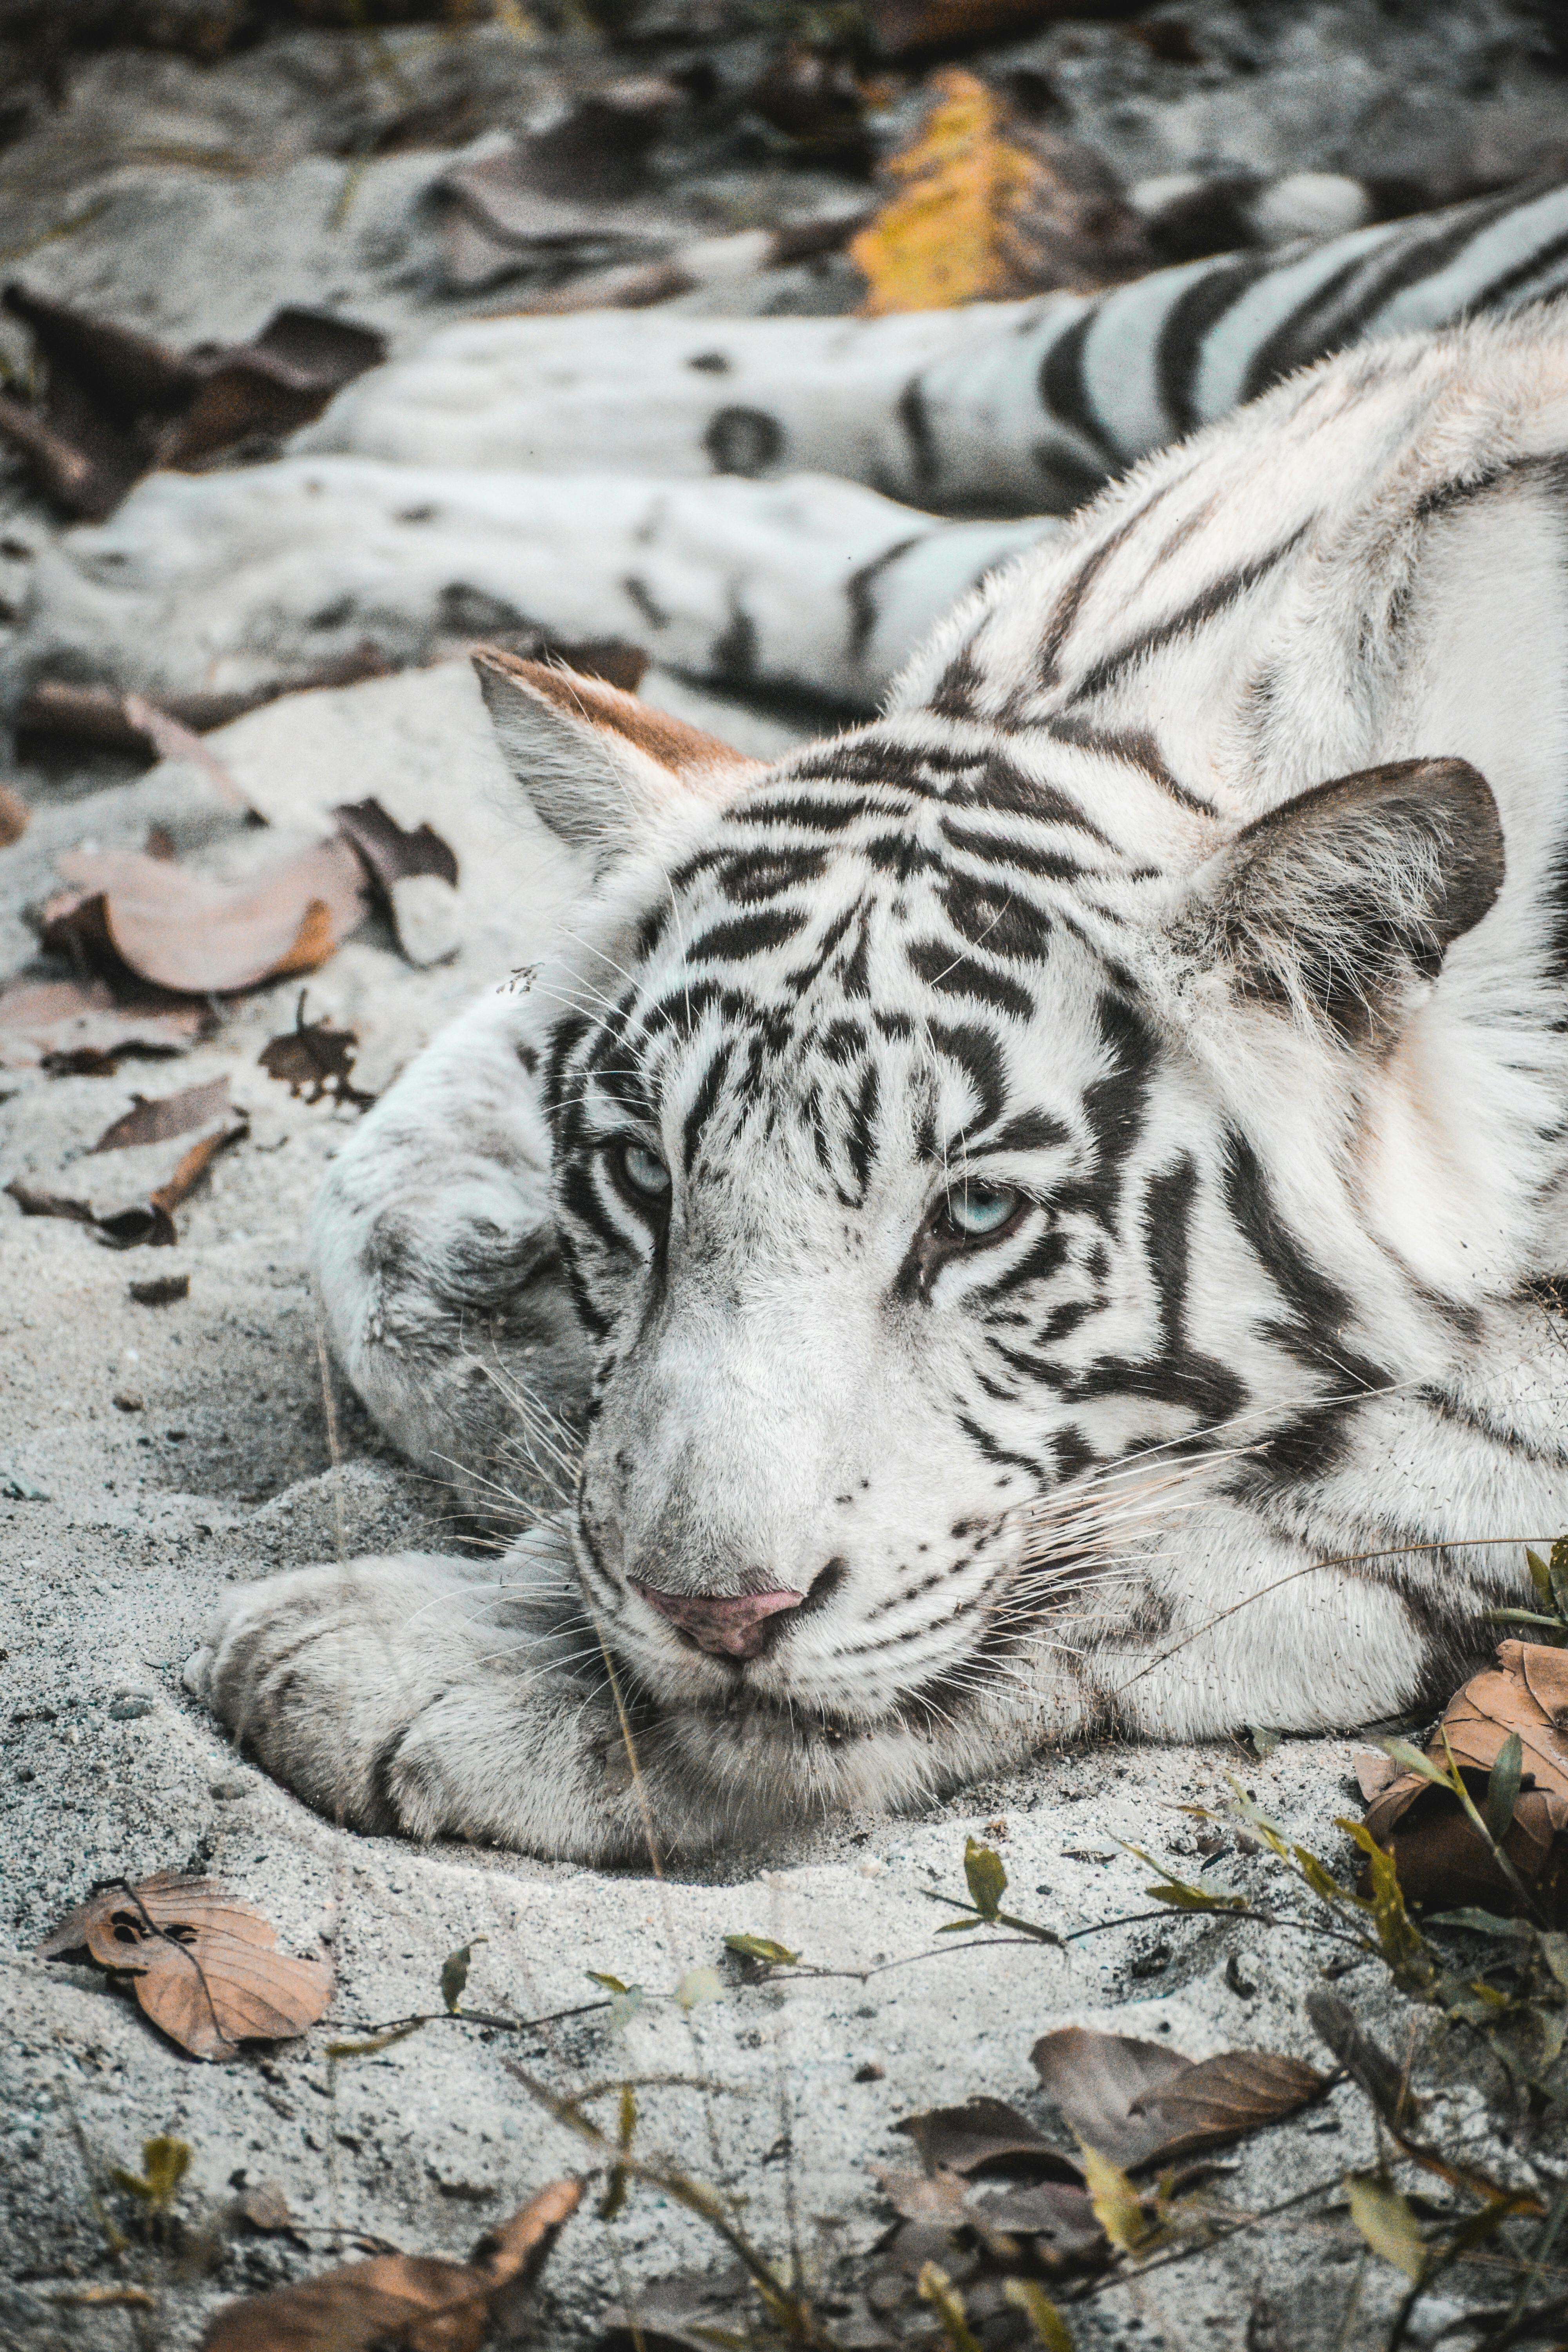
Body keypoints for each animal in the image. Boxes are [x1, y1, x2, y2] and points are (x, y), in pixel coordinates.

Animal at [184, 299, 1568, 1863]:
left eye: (974, 1218)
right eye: (644, 1173)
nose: (711, 1609)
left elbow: (1294, 1488)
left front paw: (455, 1660)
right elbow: (366, 1206)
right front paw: (499, 1363)